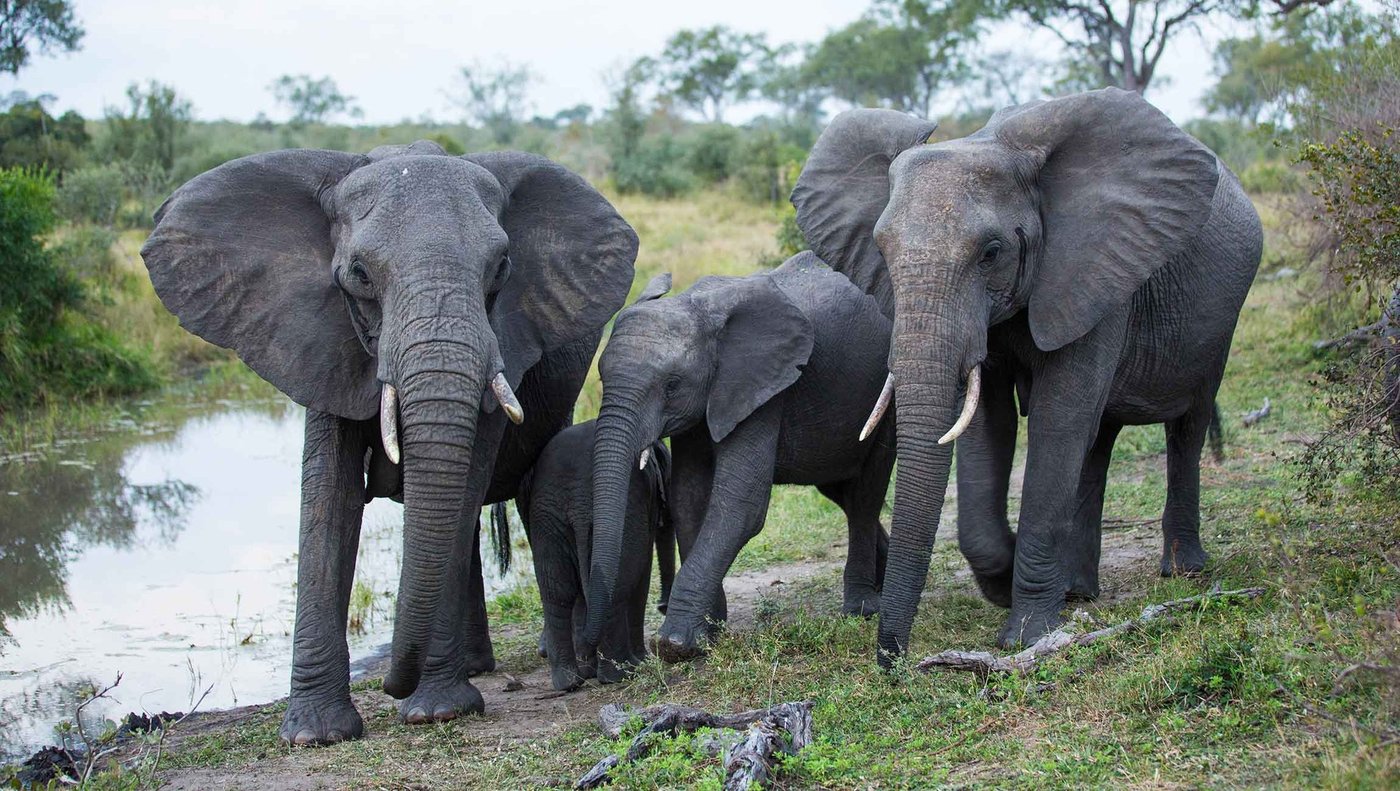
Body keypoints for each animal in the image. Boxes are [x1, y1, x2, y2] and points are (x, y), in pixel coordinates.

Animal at [140, 140, 637, 743]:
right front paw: (315, 734)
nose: (391, 684)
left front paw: (439, 711)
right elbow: (328, 496)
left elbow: (463, 480)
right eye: (359, 274)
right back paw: (475, 666)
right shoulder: (318, 339)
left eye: (501, 268)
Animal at [495, 418, 673, 691]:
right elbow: (641, 574)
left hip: (548, 516)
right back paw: (620, 673)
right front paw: (642, 660)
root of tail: (577, 505)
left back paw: (568, 681)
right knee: (616, 586)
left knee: (557, 592)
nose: (664, 606)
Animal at [584, 253, 895, 663]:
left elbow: (738, 504)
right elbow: (689, 498)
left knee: (865, 495)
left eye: (672, 386)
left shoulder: (764, 389)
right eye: (602, 379)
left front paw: (676, 644)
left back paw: (862, 609)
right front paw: (710, 631)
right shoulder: (705, 406)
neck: (697, 308)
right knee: (839, 489)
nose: (590, 651)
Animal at [792, 88, 1263, 662]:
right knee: (1098, 441)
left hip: (1222, 316)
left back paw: (1182, 572)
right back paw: (1078, 589)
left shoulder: (1095, 267)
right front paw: (1003, 582)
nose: (891, 659)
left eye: (992, 252)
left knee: (1185, 428)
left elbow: (1058, 419)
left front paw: (1024, 634)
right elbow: (987, 423)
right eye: (881, 250)